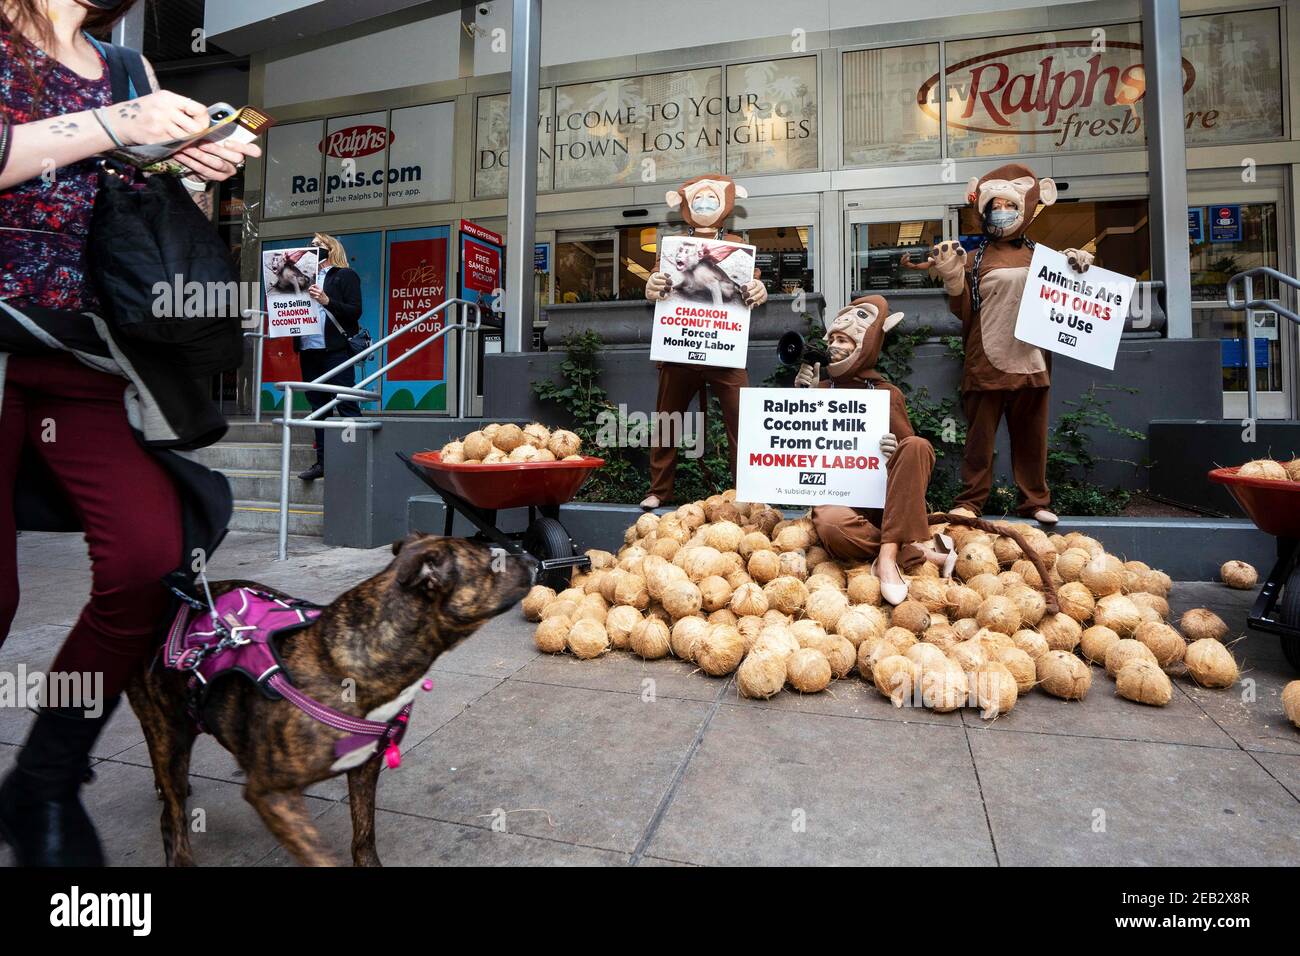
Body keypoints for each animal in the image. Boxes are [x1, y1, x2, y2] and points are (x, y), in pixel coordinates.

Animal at [125, 535, 533, 868]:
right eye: (495, 559)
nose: (531, 557)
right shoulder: (272, 795)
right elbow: (320, 855)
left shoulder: (365, 768)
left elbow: (364, 835)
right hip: (167, 729)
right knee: (173, 811)